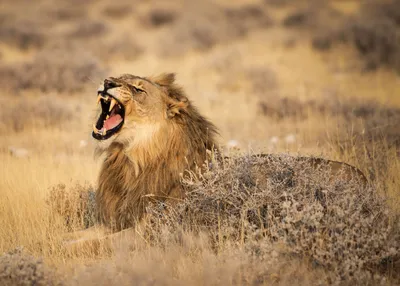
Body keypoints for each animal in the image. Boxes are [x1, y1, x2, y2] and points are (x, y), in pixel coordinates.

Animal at [64, 73, 368, 252]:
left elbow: (92, 246)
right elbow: (74, 236)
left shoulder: (148, 232)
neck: (130, 161)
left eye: (138, 89)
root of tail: (364, 179)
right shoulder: (114, 221)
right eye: (117, 76)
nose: (107, 82)